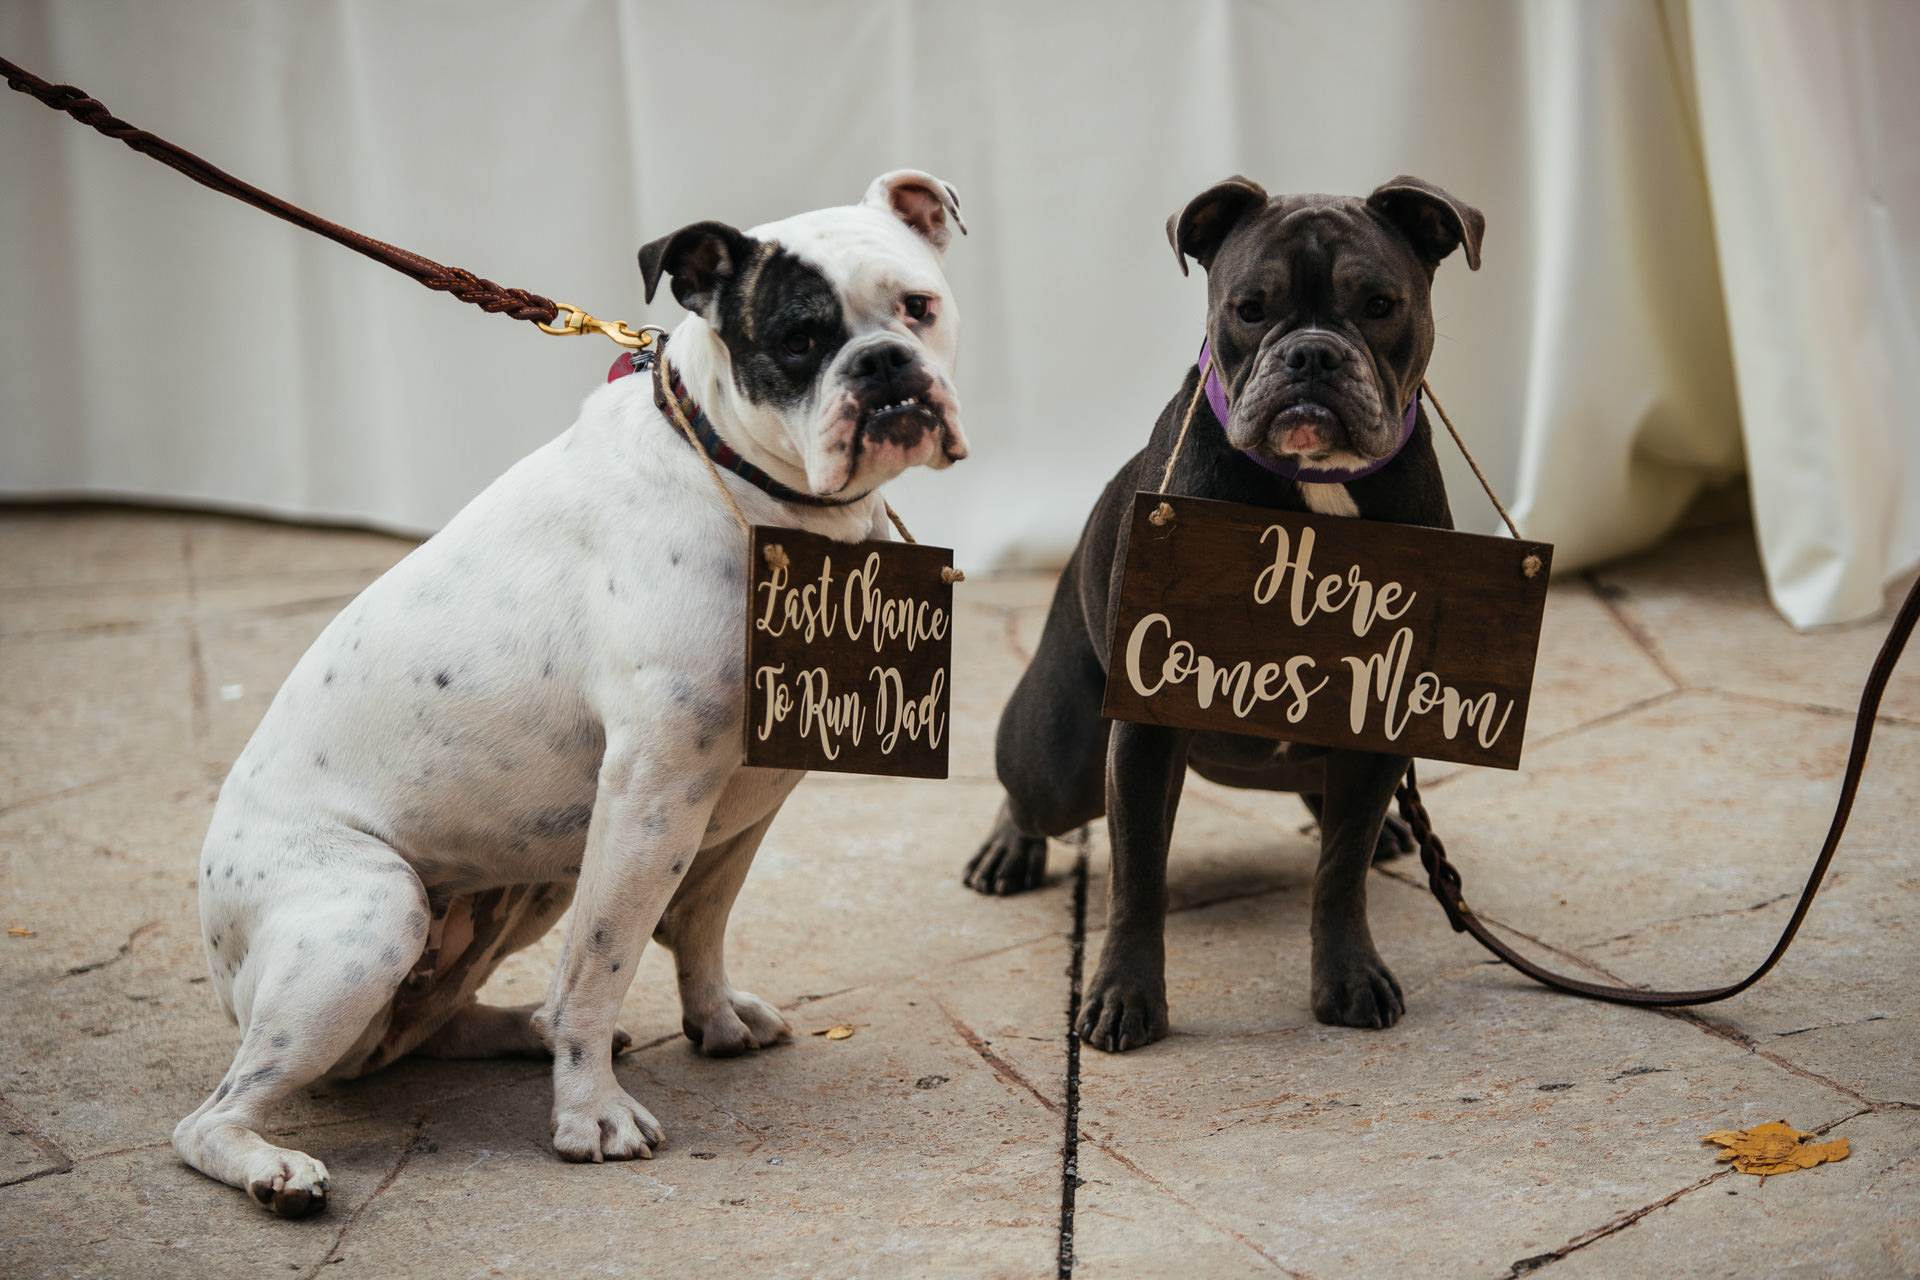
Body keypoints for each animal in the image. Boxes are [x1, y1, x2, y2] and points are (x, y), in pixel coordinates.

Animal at [170, 172, 967, 1220]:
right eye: (799, 339)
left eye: (920, 306)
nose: (884, 365)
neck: (761, 489)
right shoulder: (653, 793)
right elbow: (605, 959)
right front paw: (591, 1115)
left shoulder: (741, 797)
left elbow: (700, 922)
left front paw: (713, 1018)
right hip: (372, 915)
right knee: (216, 1113)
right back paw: (273, 1167)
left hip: (520, 885)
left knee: (415, 1033)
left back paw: (522, 1026)